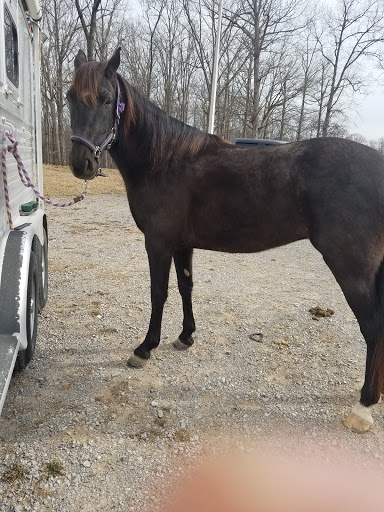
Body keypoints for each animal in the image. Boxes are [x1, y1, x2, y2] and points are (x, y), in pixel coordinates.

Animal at [67, 49, 384, 432]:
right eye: (69, 98)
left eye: (105, 99)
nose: (81, 164)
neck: (165, 160)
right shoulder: (182, 244)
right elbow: (186, 287)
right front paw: (185, 337)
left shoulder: (158, 243)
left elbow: (159, 293)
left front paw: (145, 348)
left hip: (352, 270)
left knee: (373, 327)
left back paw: (364, 406)